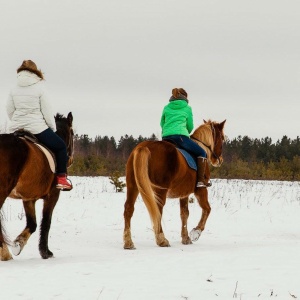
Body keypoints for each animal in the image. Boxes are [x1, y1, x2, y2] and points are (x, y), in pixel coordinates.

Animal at [0, 112, 74, 260]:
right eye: (73, 134)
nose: (70, 160)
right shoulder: (53, 195)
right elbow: (46, 221)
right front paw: (45, 252)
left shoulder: (28, 198)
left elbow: (32, 224)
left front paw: (18, 244)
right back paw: (5, 254)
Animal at [122, 119, 225, 248]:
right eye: (222, 138)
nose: (220, 160)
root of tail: (144, 147)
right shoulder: (201, 190)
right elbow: (207, 209)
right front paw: (195, 232)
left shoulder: (184, 193)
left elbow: (184, 214)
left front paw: (186, 238)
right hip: (160, 190)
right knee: (158, 210)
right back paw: (161, 240)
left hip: (133, 186)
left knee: (129, 208)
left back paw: (128, 242)